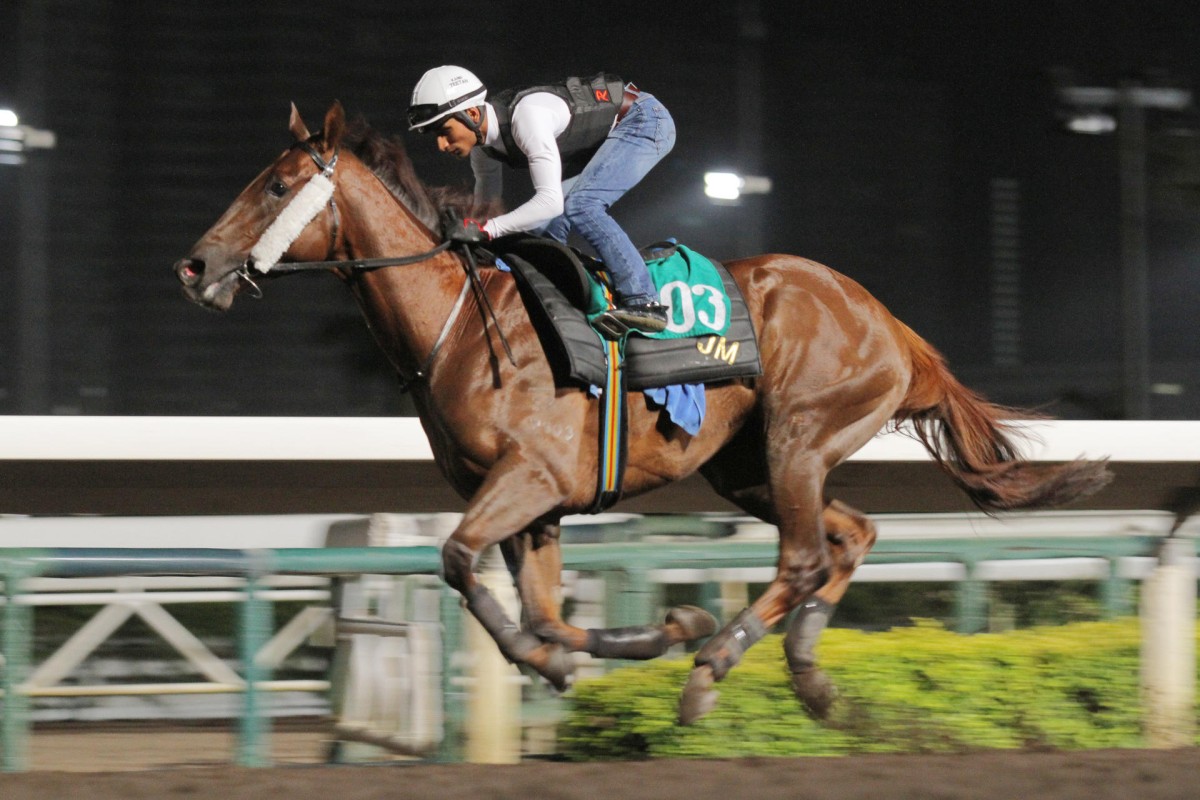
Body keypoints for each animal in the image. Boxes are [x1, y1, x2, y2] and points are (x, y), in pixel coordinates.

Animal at [174, 101, 1108, 724]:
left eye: (279, 187)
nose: (195, 267)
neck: (461, 325)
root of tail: (892, 325)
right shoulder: (532, 503)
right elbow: (545, 611)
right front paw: (637, 638)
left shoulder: (528, 477)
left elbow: (459, 562)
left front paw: (592, 654)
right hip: (749, 468)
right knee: (851, 538)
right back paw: (806, 676)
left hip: (800, 441)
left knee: (808, 555)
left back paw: (714, 668)